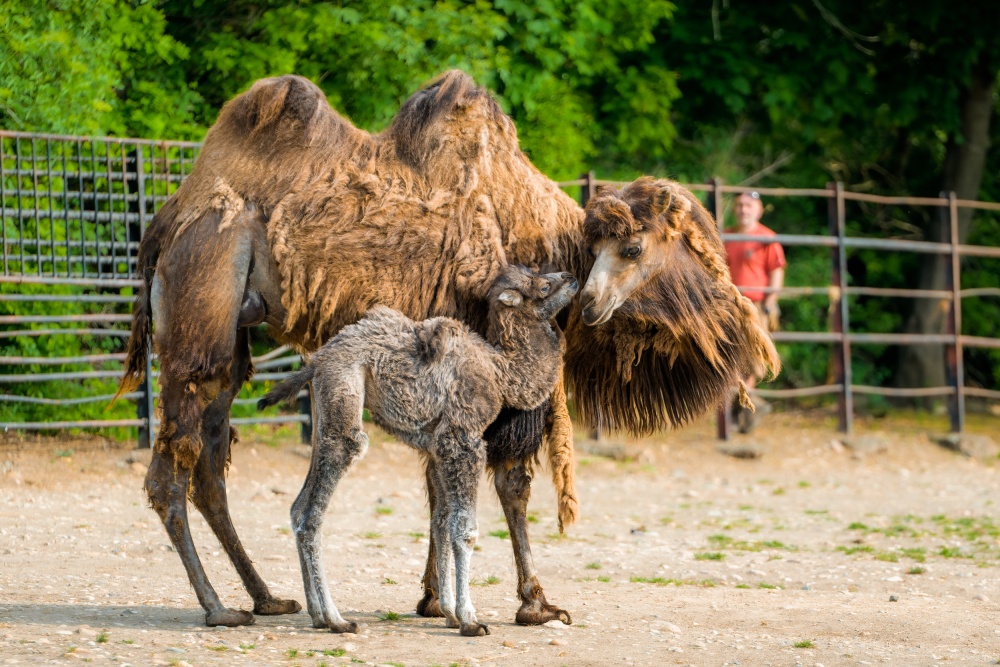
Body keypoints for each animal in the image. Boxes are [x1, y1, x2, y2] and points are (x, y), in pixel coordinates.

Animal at [258, 266, 580, 636]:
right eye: (543, 285)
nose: (572, 277)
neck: (502, 373)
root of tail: (318, 360)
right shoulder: (463, 439)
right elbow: (464, 529)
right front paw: (470, 620)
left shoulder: (440, 447)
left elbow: (441, 524)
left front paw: (450, 613)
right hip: (345, 392)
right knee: (316, 507)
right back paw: (337, 619)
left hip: (325, 415)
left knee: (299, 508)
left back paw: (316, 615)